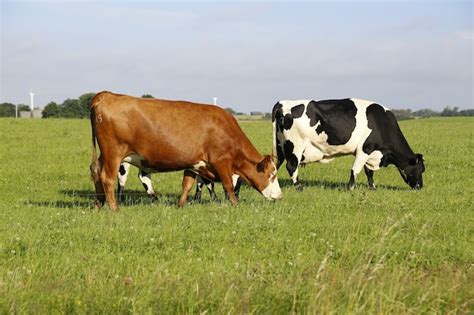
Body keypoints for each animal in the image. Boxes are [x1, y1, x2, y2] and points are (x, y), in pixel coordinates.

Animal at [90, 90, 280, 212]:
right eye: (271, 175)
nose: (280, 196)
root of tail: (106, 95)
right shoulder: (221, 161)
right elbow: (228, 186)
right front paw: (235, 206)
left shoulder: (193, 163)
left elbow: (187, 186)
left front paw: (180, 206)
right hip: (113, 154)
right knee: (107, 178)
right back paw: (114, 208)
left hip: (104, 154)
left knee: (96, 172)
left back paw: (99, 204)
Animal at [274, 99, 426, 191]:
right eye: (421, 169)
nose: (420, 186)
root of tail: (283, 103)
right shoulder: (365, 148)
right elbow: (356, 170)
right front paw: (351, 188)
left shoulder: (370, 153)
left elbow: (369, 172)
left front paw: (372, 187)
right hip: (295, 146)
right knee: (291, 166)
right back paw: (299, 187)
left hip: (279, 147)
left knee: (275, 164)